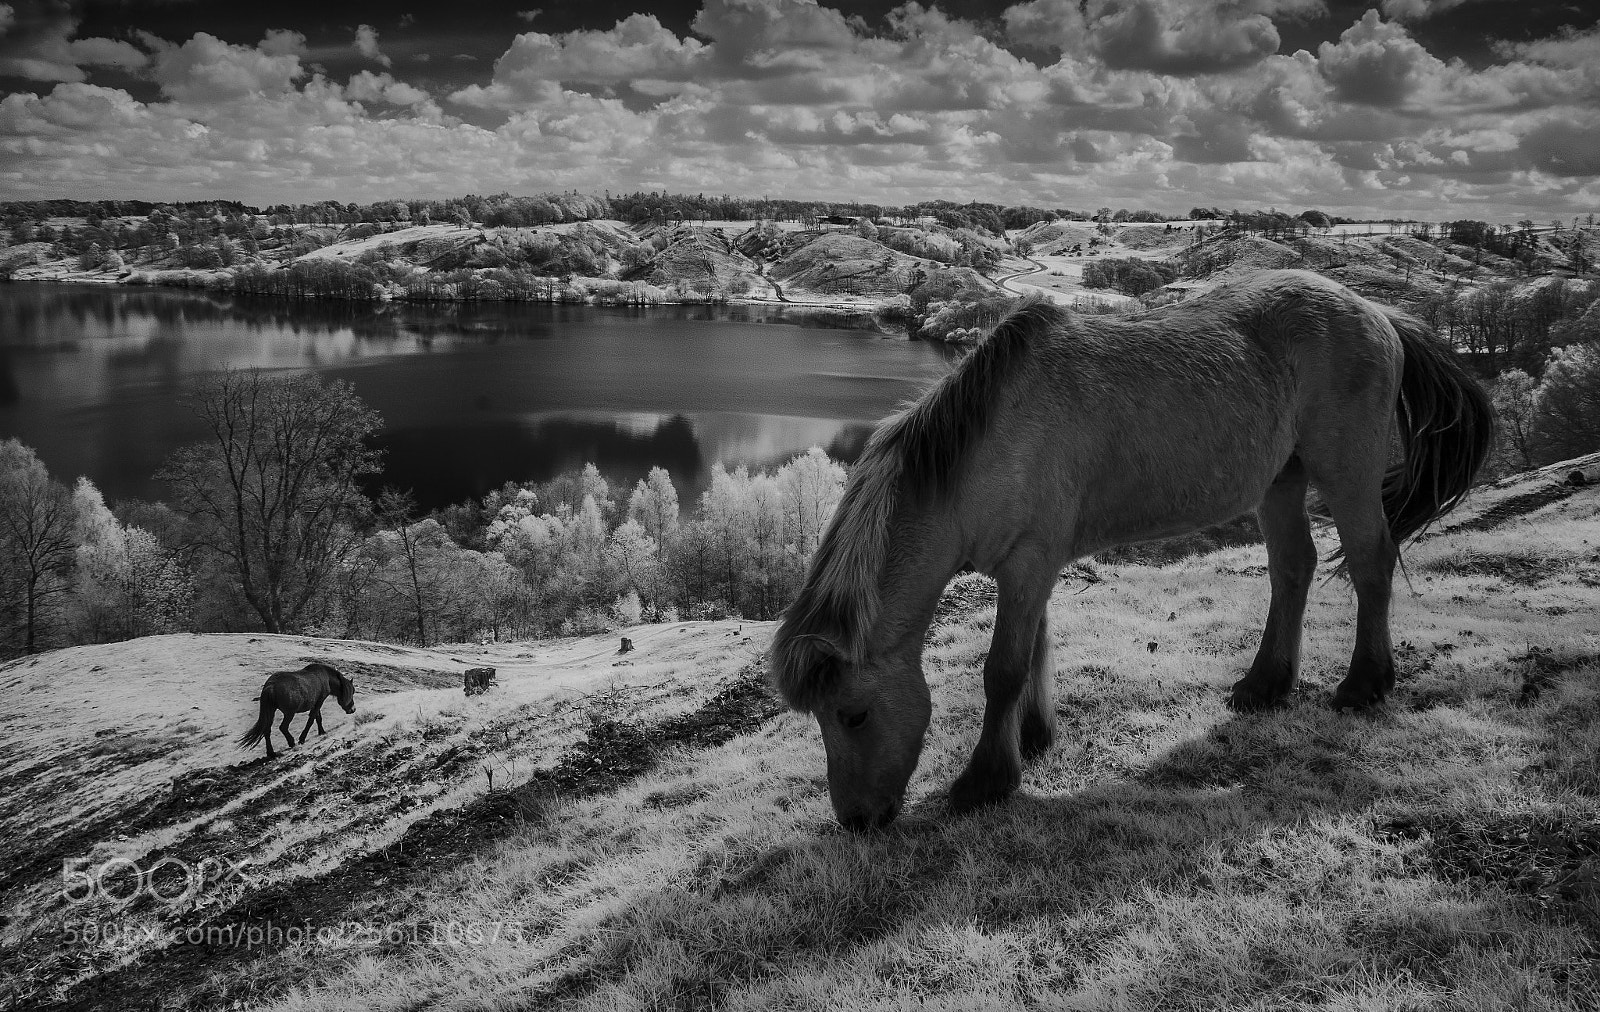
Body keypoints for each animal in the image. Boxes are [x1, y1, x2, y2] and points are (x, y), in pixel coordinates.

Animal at [769, 270, 1493, 831]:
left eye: (853, 715)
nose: (856, 820)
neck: (986, 444)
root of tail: (1377, 312)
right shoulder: (1032, 568)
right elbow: (1037, 649)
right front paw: (1034, 737)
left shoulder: (1028, 563)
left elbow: (1002, 669)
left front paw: (985, 781)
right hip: (1280, 480)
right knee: (1294, 568)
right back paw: (1264, 685)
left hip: (1346, 470)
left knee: (1370, 561)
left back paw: (1365, 684)